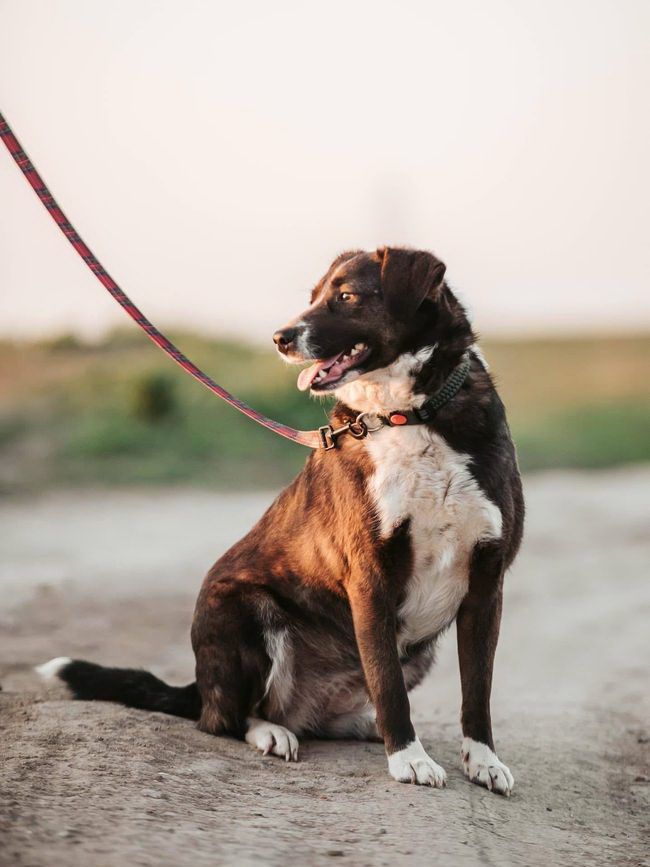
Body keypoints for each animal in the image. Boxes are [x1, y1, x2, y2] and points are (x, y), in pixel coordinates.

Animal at [37, 247, 524, 794]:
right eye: (312, 296)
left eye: (346, 296)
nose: (280, 338)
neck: (410, 416)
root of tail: (201, 686)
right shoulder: (371, 578)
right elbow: (389, 686)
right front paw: (409, 758)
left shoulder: (486, 583)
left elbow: (476, 689)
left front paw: (483, 761)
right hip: (246, 611)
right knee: (227, 719)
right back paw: (273, 731)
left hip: (415, 649)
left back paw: (357, 725)